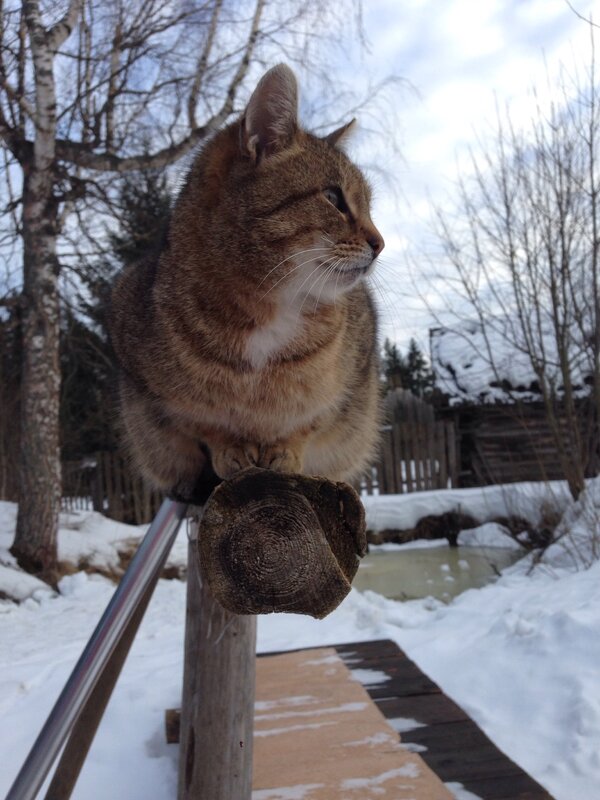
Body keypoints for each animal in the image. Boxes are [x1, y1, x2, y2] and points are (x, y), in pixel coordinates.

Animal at [109, 62, 384, 504]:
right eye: (333, 197)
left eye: (369, 206)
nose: (380, 242)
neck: (271, 305)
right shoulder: (152, 391)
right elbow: (204, 424)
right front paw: (231, 448)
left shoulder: (350, 386)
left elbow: (311, 420)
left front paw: (286, 449)